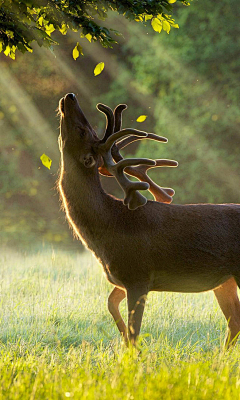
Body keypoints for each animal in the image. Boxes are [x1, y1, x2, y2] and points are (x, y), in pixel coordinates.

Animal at [57, 93, 240, 346]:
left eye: (82, 130)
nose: (70, 96)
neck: (108, 225)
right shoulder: (123, 278)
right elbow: (111, 305)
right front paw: (123, 340)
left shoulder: (138, 274)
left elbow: (135, 332)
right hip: (225, 280)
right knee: (234, 322)